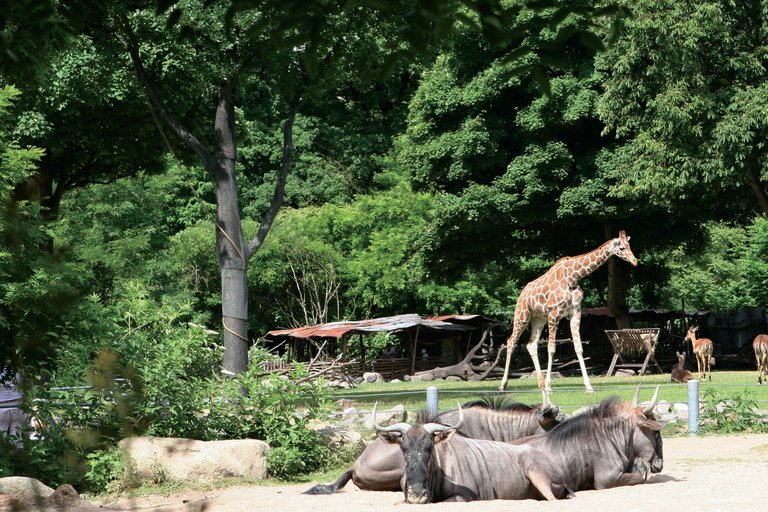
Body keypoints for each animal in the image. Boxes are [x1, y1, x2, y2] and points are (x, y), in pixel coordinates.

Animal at [498, 230, 636, 394]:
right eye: (621, 248)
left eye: (630, 246)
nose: (635, 261)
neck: (573, 276)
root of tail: (522, 294)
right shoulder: (554, 314)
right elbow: (551, 349)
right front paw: (550, 386)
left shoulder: (575, 313)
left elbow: (579, 348)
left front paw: (589, 387)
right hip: (522, 315)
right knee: (511, 342)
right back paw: (503, 385)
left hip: (538, 319)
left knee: (531, 345)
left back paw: (540, 384)